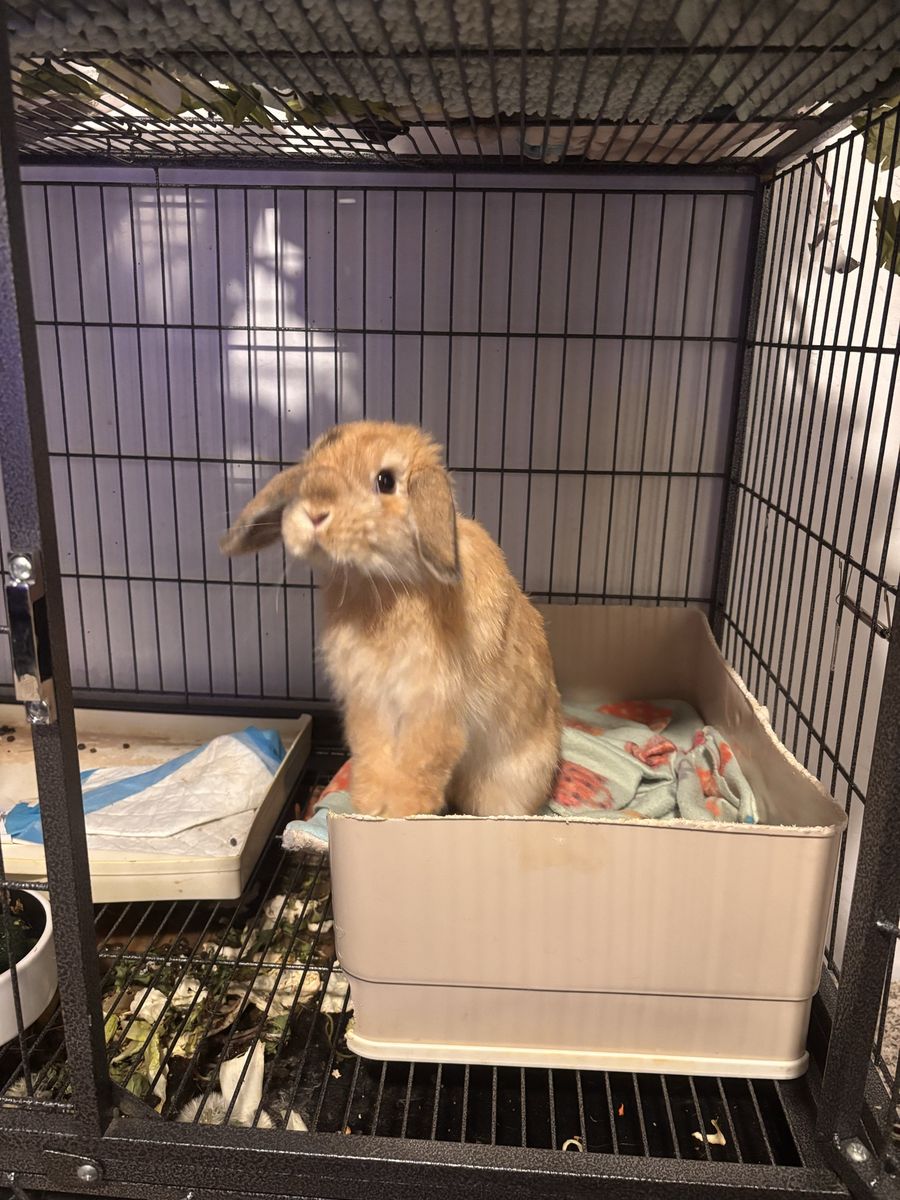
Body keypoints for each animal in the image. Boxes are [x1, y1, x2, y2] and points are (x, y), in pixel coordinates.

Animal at [221, 421, 561, 818]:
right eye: (310, 469)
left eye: (385, 481)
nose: (315, 514)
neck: (384, 583)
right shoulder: (369, 703)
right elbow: (374, 758)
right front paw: (368, 809)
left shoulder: (432, 711)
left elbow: (417, 769)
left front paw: (399, 815)